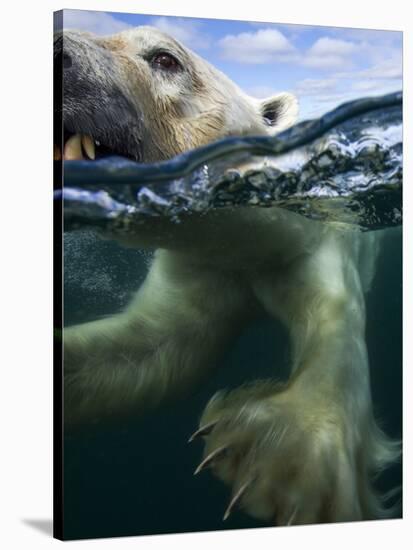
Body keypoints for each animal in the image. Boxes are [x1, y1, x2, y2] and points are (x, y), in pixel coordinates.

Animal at [56, 24, 398, 528]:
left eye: (165, 58)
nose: (59, 52)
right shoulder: (203, 265)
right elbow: (151, 350)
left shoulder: (319, 236)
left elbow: (333, 319)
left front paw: (279, 454)